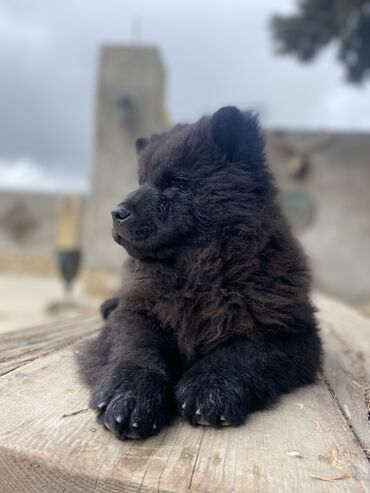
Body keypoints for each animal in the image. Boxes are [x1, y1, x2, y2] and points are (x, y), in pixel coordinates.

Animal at [77, 106, 320, 438]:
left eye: (176, 184)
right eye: (141, 181)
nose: (117, 213)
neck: (196, 272)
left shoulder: (288, 330)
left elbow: (242, 351)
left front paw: (208, 389)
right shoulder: (138, 311)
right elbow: (136, 346)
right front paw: (130, 396)